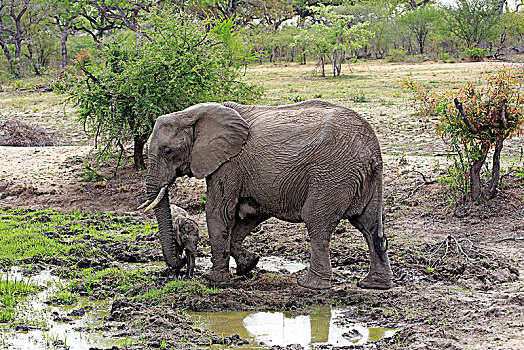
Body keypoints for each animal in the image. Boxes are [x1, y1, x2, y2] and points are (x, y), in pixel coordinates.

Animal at [143, 99, 392, 290]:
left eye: (168, 151)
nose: (181, 260)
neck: (193, 114)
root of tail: (374, 151)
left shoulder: (228, 164)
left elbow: (218, 212)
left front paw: (214, 280)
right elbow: (249, 217)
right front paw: (249, 265)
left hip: (332, 174)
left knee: (317, 222)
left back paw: (310, 284)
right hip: (362, 178)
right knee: (370, 227)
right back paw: (374, 285)